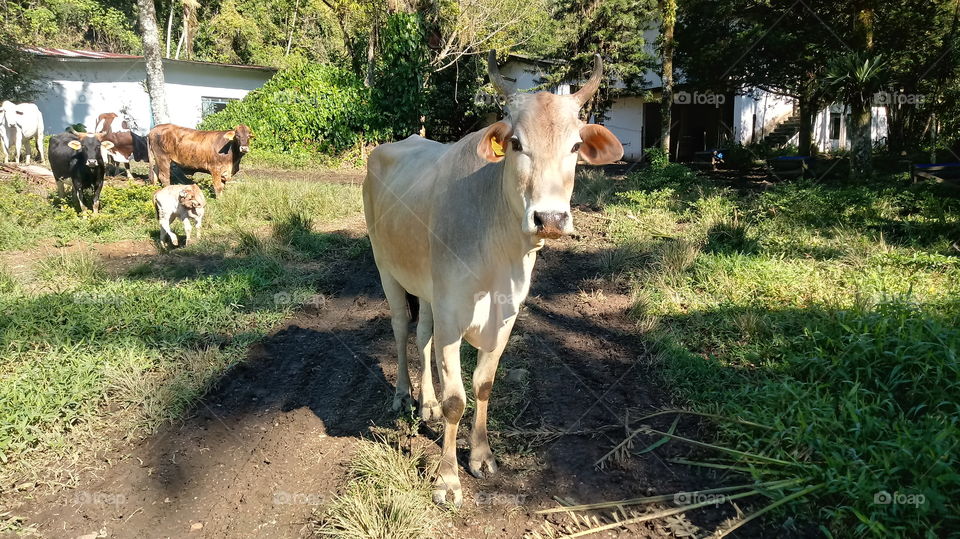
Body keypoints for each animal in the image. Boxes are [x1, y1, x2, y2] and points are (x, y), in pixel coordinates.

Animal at [363, 51, 623, 506]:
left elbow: (482, 386)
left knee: (422, 333)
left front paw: (481, 456)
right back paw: (402, 395)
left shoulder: (505, 314)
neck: (499, 252)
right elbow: (456, 399)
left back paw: (425, 404)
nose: (550, 218)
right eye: (516, 143)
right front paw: (447, 479)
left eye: (576, 146)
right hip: (385, 266)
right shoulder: (452, 312)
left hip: (428, 288)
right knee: (400, 328)